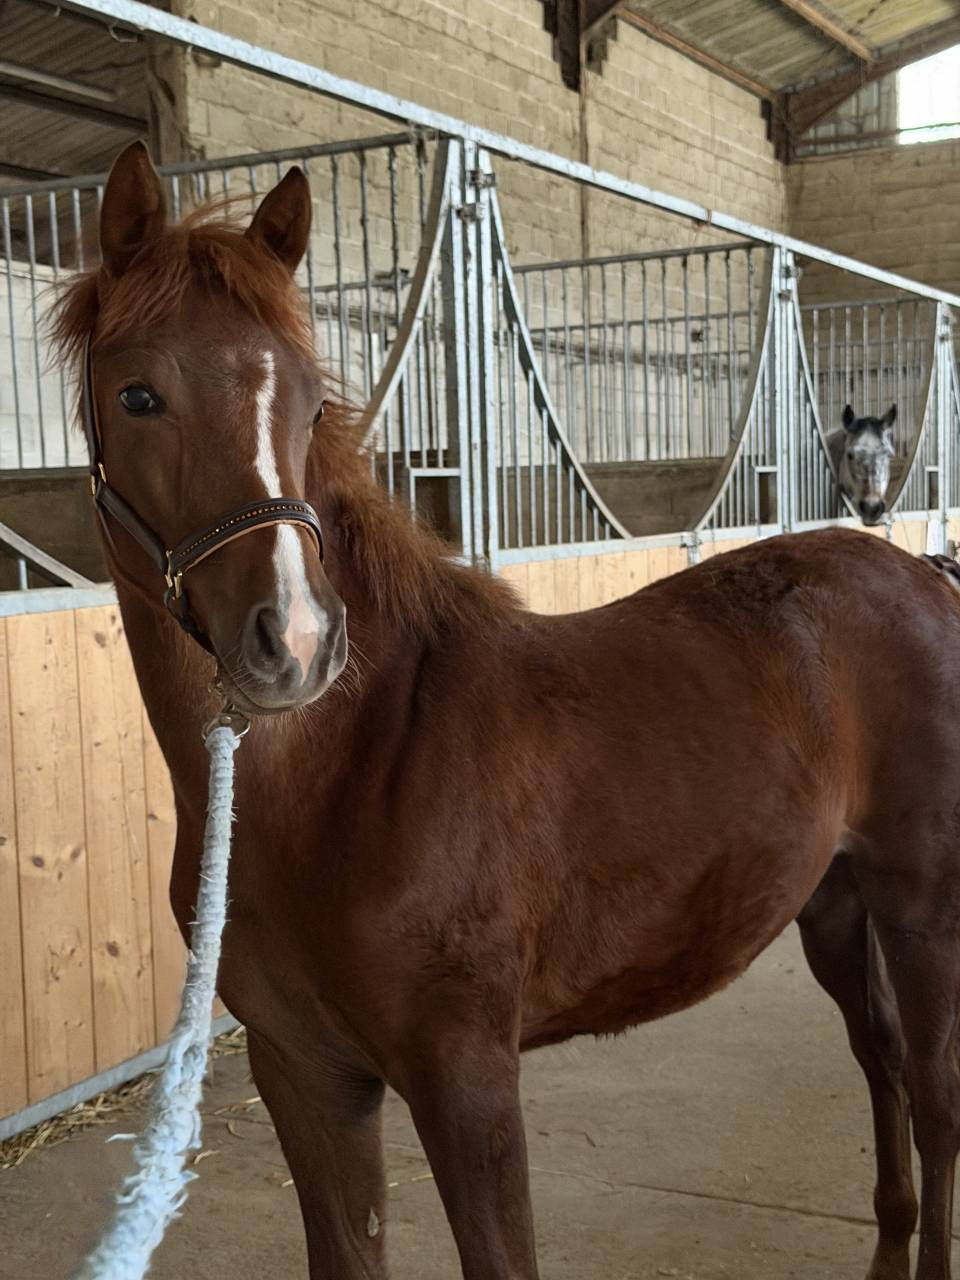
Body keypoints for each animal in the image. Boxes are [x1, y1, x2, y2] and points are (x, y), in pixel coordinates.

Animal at [55, 140, 960, 1280]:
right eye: (137, 396)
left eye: (311, 405)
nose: (296, 641)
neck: (352, 770)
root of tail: (924, 576)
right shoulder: (305, 1074)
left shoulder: (466, 1077)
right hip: (835, 901)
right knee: (880, 1060)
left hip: (922, 907)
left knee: (935, 1096)